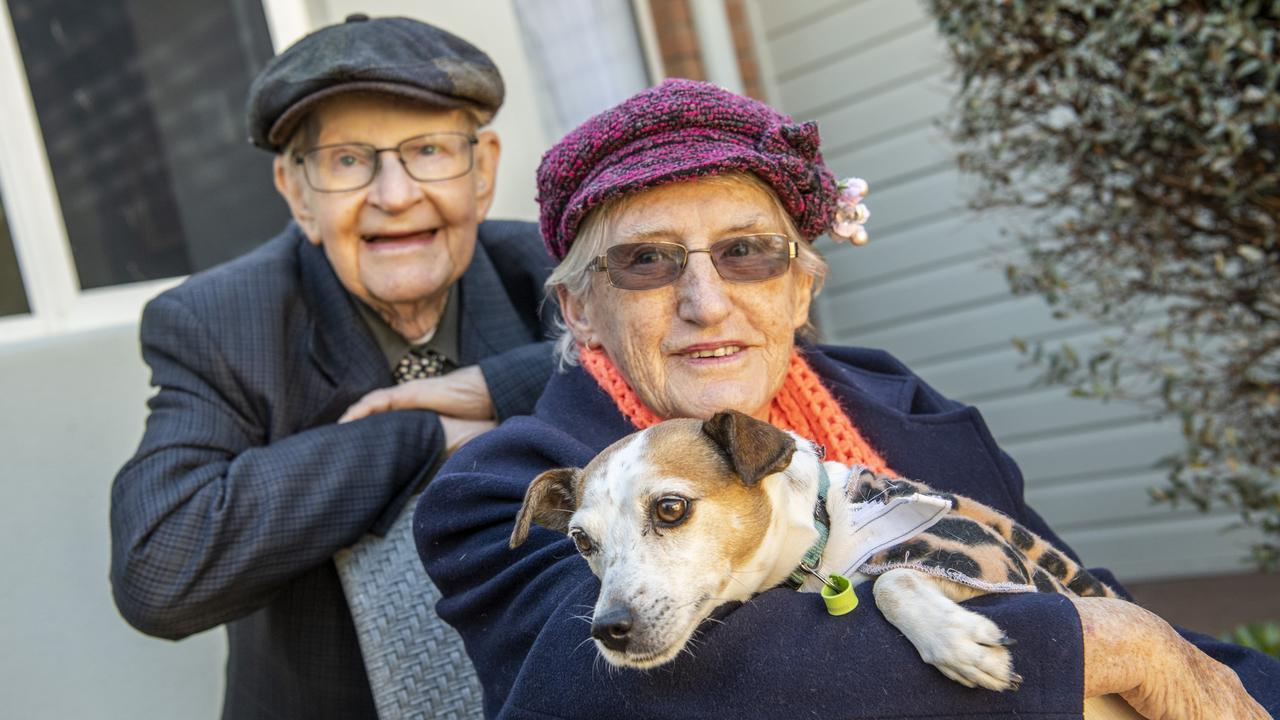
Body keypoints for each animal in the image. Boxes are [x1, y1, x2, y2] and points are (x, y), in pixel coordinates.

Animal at [509, 407, 1121, 686]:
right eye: (581, 540)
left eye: (670, 508)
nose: (608, 629)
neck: (823, 533)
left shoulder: (988, 556)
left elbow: (892, 579)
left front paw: (955, 643)